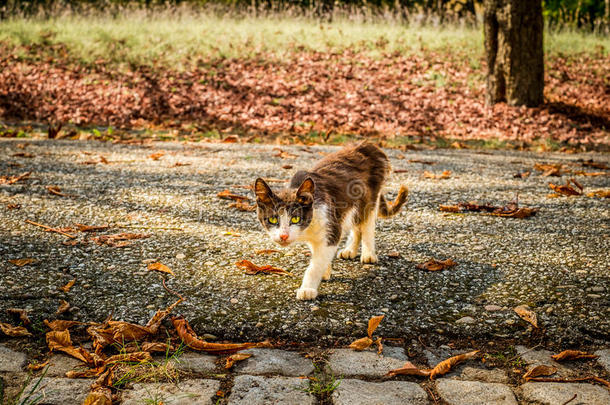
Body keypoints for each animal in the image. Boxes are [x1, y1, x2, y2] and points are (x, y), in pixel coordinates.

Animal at [254, 140, 406, 298]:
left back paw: (368, 253)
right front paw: (325, 271)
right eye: (272, 220)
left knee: (366, 223)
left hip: (370, 197)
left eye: (295, 219)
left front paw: (308, 288)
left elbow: (317, 262)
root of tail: (368, 144)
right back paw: (350, 250)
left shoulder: (331, 224)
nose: (283, 236)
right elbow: (318, 251)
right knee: (355, 222)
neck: (307, 228)